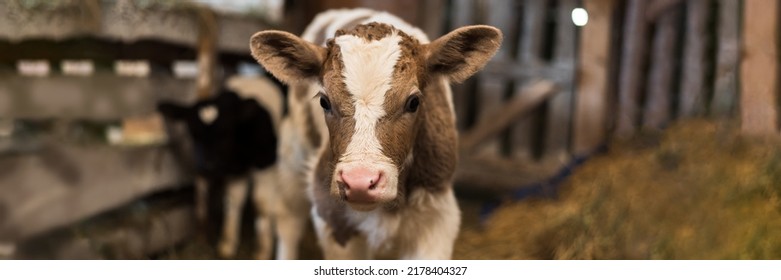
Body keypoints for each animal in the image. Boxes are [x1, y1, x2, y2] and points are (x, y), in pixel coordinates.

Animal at [251, 9, 506, 260]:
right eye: (324, 101)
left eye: (413, 102)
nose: (359, 182)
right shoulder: (333, 220)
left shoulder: (435, 220)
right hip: (293, 153)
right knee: (289, 219)